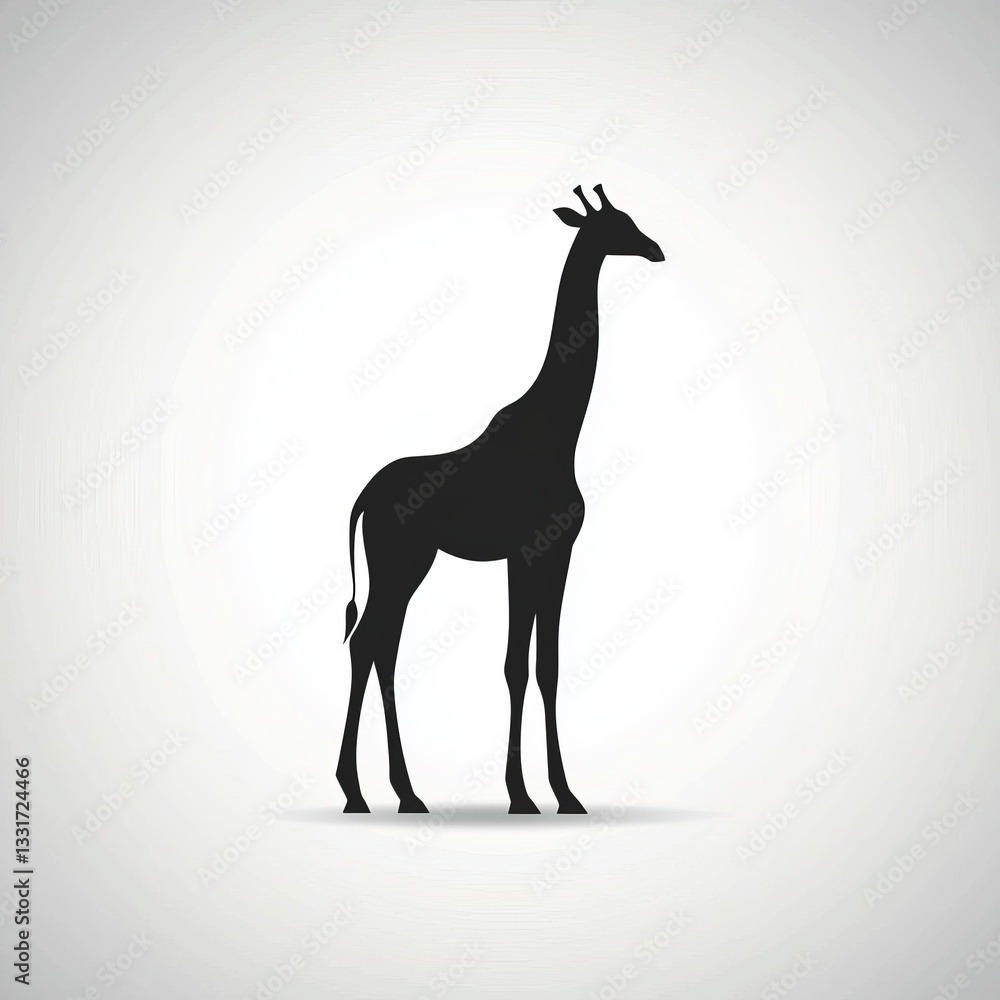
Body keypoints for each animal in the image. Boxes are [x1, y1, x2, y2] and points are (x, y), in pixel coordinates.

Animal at [337, 184, 663, 814]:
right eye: (618, 226)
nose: (656, 248)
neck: (560, 432)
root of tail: (362, 498)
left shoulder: (554, 554)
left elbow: (547, 666)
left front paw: (563, 793)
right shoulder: (526, 552)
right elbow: (517, 666)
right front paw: (522, 794)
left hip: (412, 564)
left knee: (383, 647)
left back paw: (402, 792)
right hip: (397, 560)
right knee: (367, 643)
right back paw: (358, 792)